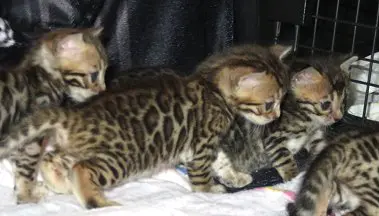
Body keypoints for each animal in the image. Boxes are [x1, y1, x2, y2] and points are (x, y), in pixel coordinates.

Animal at [0, 43, 286, 208]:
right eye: (268, 103)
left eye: (282, 99)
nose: (277, 115)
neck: (213, 88)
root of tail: (75, 115)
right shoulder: (202, 145)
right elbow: (202, 173)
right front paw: (207, 191)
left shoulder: (207, 146)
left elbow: (222, 160)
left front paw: (234, 175)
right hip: (124, 157)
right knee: (81, 169)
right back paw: (97, 201)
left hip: (83, 148)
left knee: (53, 160)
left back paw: (59, 184)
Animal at [215, 54, 358, 188]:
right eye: (326, 104)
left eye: (344, 100)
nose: (338, 117)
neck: (306, 118)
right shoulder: (272, 137)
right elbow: (285, 159)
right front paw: (293, 178)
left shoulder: (314, 135)